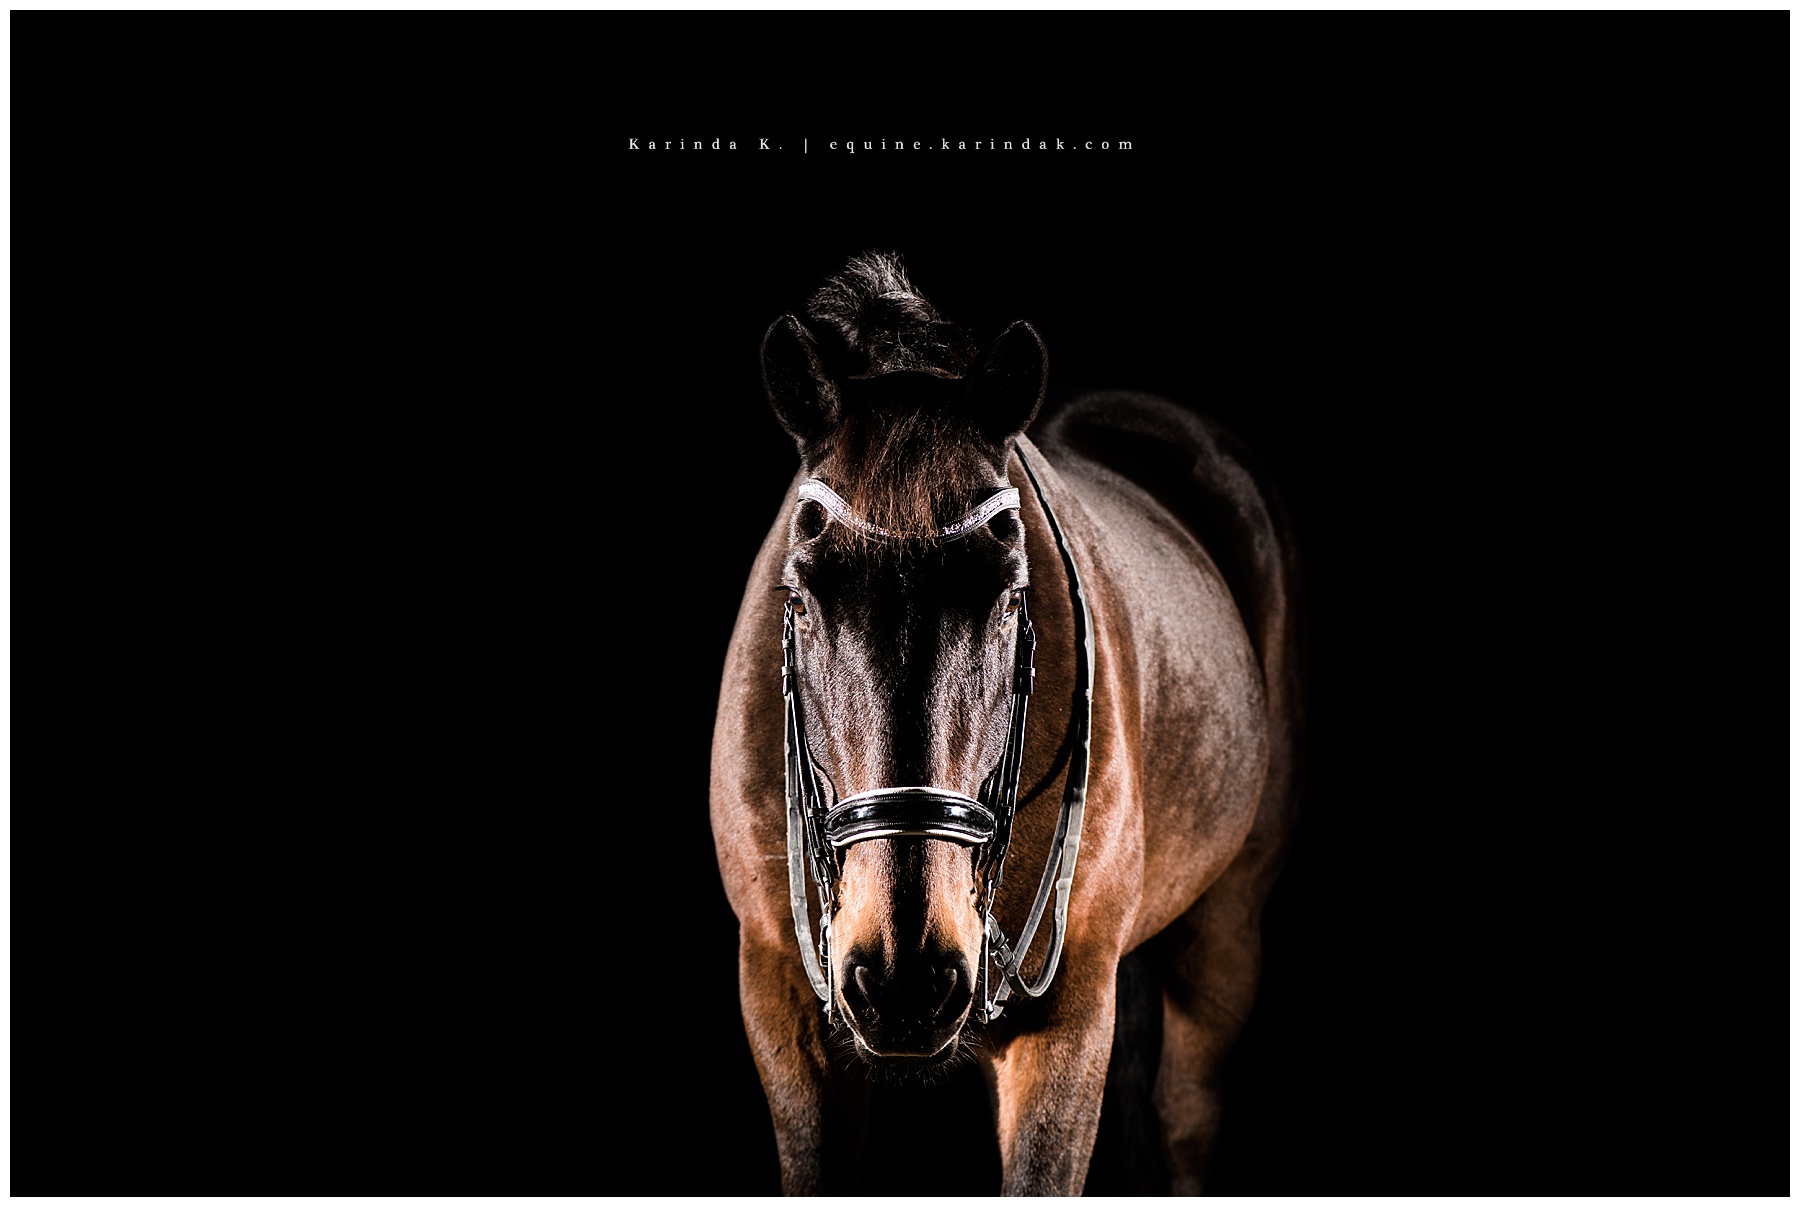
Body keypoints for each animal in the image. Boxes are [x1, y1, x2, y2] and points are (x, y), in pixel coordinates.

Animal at [709, 253, 1303, 1195]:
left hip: (1225, 931)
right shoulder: (779, 1007)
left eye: (1011, 598)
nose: (904, 979)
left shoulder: (1070, 1018)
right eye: (798, 597)